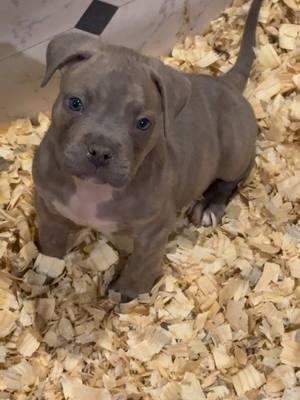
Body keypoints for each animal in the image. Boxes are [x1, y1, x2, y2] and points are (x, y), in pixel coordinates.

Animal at [32, 0, 262, 300]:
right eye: (75, 103)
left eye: (143, 123)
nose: (100, 151)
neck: (93, 190)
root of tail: (225, 83)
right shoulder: (50, 207)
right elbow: (51, 242)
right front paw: (45, 269)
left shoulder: (153, 232)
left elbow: (141, 266)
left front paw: (126, 292)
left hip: (234, 151)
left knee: (238, 173)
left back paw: (210, 204)